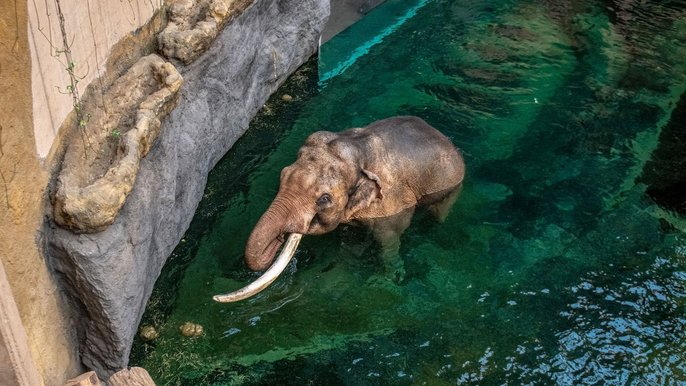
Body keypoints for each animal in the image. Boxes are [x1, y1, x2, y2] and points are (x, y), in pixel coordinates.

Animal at [215, 116, 468, 304]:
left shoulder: (392, 204)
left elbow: (389, 240)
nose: (278, 238)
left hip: (451, 185)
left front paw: (388, 280)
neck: (358, 150)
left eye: (324, 199)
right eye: (282, 175)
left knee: (438, 215)